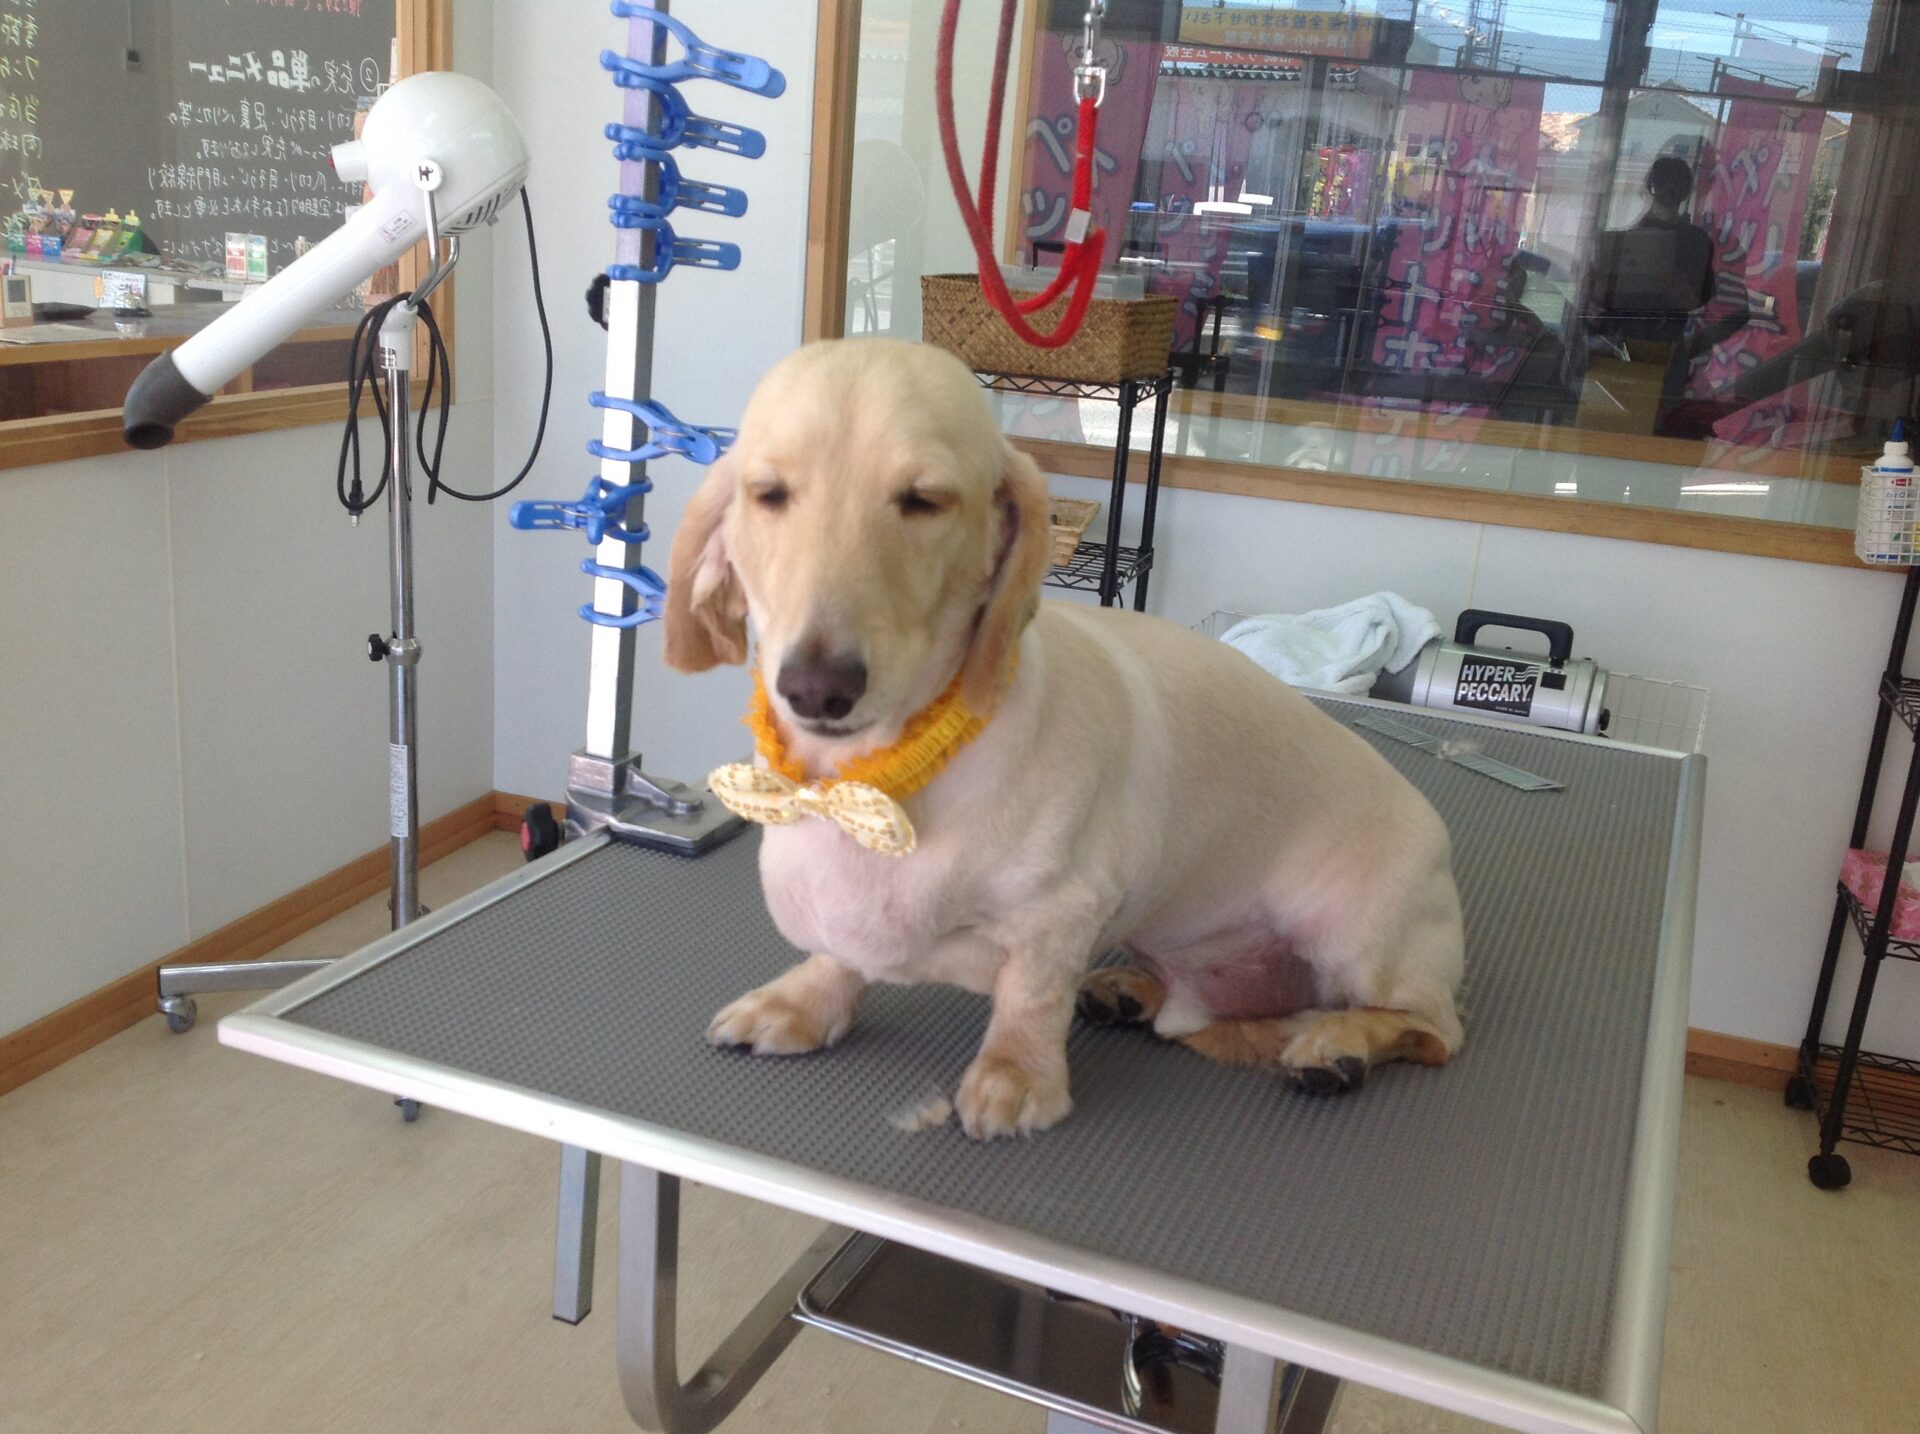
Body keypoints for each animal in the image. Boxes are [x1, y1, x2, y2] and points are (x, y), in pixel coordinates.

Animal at [664, 338, 1464, 1140]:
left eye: (924, 500)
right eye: (769, 494)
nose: (816, 687)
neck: (872, 779)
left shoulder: (1064, 914)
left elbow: (1032, 994)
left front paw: (1015, 1077)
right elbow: (841, 958)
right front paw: (803, 1001)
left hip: (1361, 936)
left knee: (1430, 1028)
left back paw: (1337, 1045)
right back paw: (1133, 991)